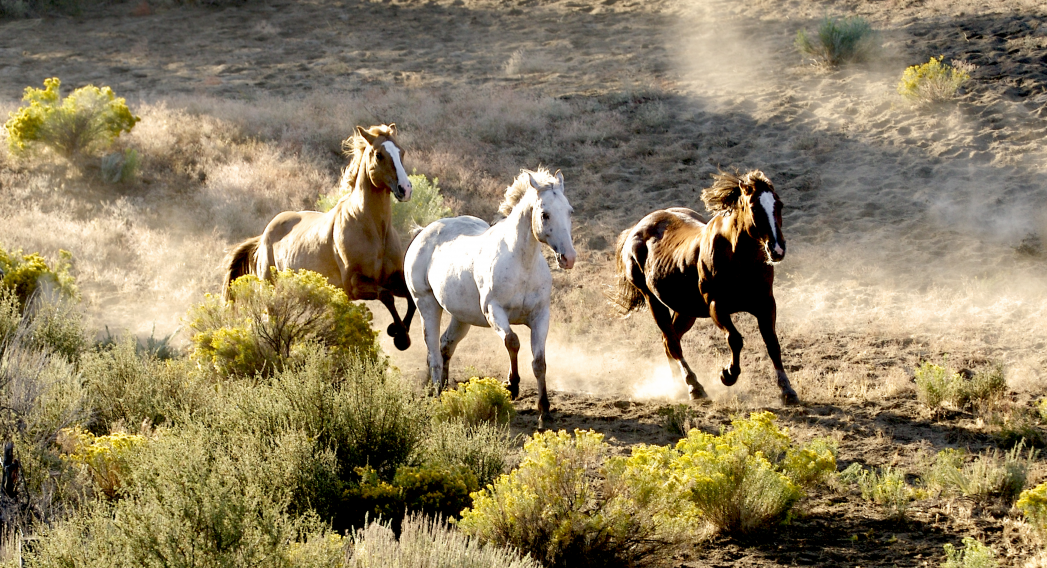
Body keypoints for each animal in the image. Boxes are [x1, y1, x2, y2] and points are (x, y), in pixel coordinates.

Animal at [222, 124, 416, 350]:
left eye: (401, 152)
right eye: (379, 155)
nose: (405, 189)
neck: (373, 230)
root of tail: (263, 237)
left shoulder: (393, 277)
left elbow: (410, 298)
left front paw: (399, 331)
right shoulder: (354, 284)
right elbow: (386, 296)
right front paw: (400, 336)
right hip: (270, 287)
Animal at [405, 168, 576, 428]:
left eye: (569, 211)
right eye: (545, 214)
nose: (569, 258)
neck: (522, 263)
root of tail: (423, 232)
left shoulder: (540, 316)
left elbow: (539, 362)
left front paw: (544, 413)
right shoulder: (494, 311)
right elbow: (512, 341)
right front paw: (512, 386)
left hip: (461, 317)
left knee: (446, 345)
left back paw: (444, 389)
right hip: (427, 304)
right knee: (433, 352)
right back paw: (437, 395)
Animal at [611, 169, 799, 405]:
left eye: (779, 205)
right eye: (755, 207)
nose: (777, 249)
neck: (738, 258)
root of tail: (636, 230)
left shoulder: (765, 304)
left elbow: (772, 343)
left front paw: (787, 390)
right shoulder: (716, 305)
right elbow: (734, 339)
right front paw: (728, 374)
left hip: (685, 310)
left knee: (668, 341)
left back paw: (678, 385)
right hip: (653, 300)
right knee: (672, 343)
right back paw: (694, 387)